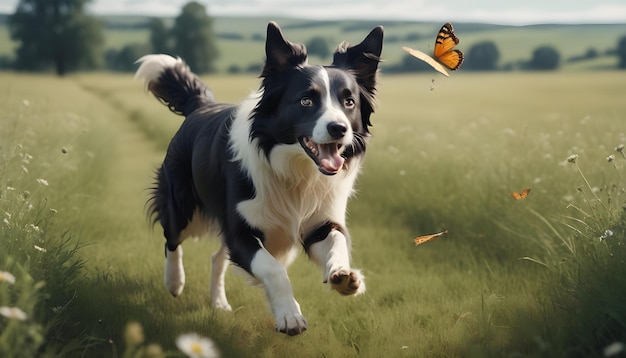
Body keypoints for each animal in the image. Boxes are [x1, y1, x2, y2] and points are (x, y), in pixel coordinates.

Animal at [135, 21, 382, 336]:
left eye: (349, 102)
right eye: (306, 100)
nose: (339, 128)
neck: (296, 171)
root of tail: (200, 104)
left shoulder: (320, 221)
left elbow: (337, 241)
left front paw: (343, 275)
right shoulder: (241, 230)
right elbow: (273, 269)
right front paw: (290, 315)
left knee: (216, 257)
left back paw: (219, 304)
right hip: (183, 202)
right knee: (172, 236)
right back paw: (175, 282)